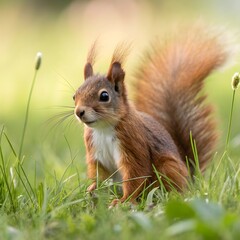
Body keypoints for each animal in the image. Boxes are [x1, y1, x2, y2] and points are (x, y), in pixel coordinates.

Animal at [73, 26, 231, 206]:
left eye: (104, 96)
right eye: (74, 95)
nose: (79, 112)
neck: (103, 129)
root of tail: (189, 180)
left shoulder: (133, 143)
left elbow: (136, 173)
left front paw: (123, 201)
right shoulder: (96, 153)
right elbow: (100, 175)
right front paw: (92, 190)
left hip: (167, 167)